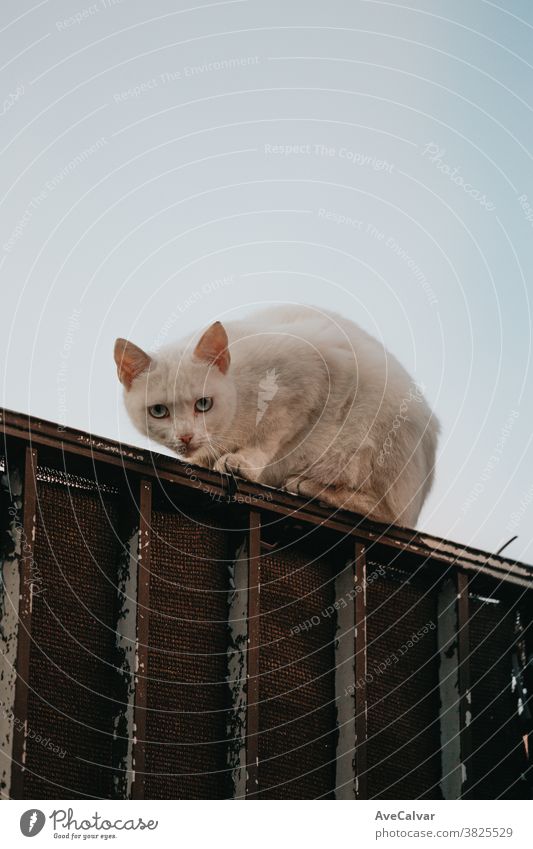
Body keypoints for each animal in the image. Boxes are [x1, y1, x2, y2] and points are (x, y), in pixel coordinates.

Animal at [114, 304, 438, 528]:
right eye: (159, 411)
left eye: (203, 404)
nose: (185, 436)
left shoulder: (309, 381)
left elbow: (271, 432)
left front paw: (242, 461)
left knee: (387, 512)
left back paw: (307, 485)